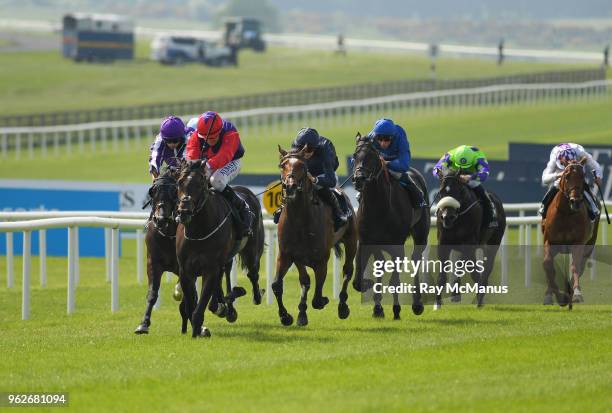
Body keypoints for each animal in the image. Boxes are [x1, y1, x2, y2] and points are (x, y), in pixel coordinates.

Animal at [176, 159, 264, 336]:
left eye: (199, 184)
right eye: (179, 182)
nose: (184, 211)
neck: (198, 231)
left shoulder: (210, 269)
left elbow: (200, 308)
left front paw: (197, 332)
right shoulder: (185, 271)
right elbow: (191, 306)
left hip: (252, 251)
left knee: (253, 275)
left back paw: (253, 296)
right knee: (225, 278)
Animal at [274, 145, 358, 326]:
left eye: (302, 166)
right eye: (283, 165)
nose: (290, 186)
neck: (300, 220)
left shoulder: (321, 261)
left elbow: (317, 299)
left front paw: (324, 301)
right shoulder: (288, 255)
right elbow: (279, 285)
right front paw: (287, 316)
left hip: (351, 240)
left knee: (348, 270)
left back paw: (342, 306)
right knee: (305, 281)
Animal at [350, 134, 430, 318]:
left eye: (372, 156)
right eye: (355, 156)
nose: (358, 179)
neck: (378, 207)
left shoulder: (397, 247)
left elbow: (395, 280)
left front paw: (396, 309)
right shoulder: (365, 242)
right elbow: (357, 282)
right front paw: (371, 293)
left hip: (421, 234)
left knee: (416, 259)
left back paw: (417, 304)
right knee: (380, 262)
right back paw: (378, 307)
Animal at [436, 169, 506, 308]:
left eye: (459, 191)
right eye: (441, 192)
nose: (447, 217)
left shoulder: (470, 243)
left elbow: (472, 270)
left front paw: (479, 296)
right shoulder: (443, 243)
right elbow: (442, 274)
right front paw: (438, 303)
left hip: (493, 243)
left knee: (487, 266)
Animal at [544, 158, 600, 306]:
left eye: (582, 176)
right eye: (567, 176)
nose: (575, 201)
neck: (566, 213)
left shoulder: (578, 243)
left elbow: (575, 266)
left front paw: (577, 293)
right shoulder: (549, 241)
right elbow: (548, 265)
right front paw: (550, 294)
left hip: (590, 243)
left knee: (581, 265)